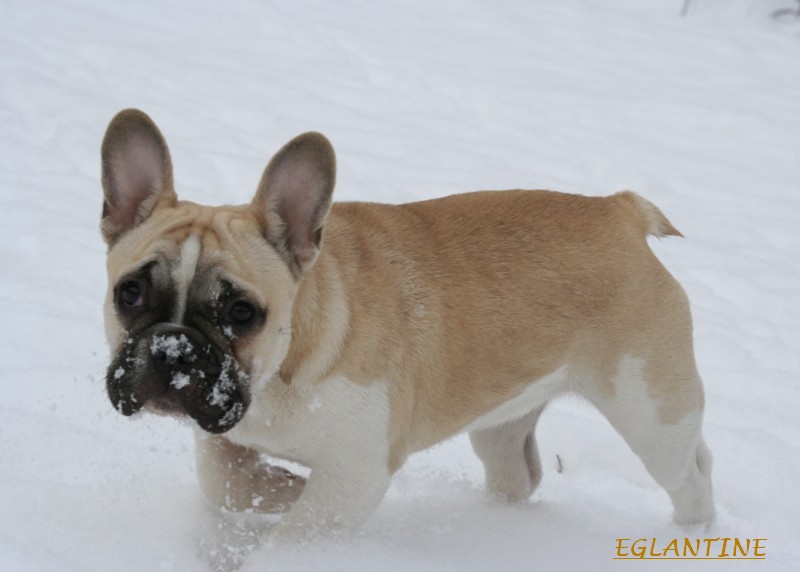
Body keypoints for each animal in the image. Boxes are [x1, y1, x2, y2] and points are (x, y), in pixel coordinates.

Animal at [101, 109, 720, 540]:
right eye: (129, 292)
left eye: (240, 313)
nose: (173, 347)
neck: (282, 372)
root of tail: (620, 211)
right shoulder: (226, 438)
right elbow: (227, 483)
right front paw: (280, 489)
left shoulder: (355, 472)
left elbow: (302, 530)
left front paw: (286, 516)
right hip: (501, 421)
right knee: (516, 473)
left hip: (651, 411)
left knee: (690, 472)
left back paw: (695, 533)